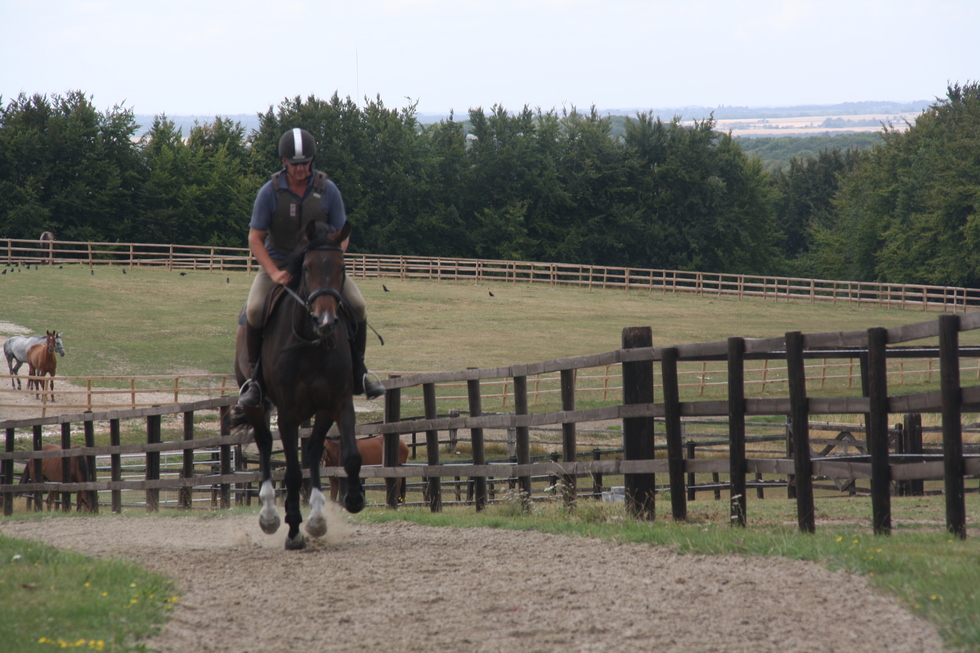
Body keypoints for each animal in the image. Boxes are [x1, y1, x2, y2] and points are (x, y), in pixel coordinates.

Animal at [234, 219, 364, 550]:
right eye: (306, 268)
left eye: (342, 268)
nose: (326, 320)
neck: (311, 343)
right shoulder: (289, 413)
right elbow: (291, 472)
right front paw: (293, 529)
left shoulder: (338, 401)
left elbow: (348, 455)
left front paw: (354, 499)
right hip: (257, 405)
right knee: (266, 444)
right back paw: (269, 516)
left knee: (313, 449)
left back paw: (317, 518)